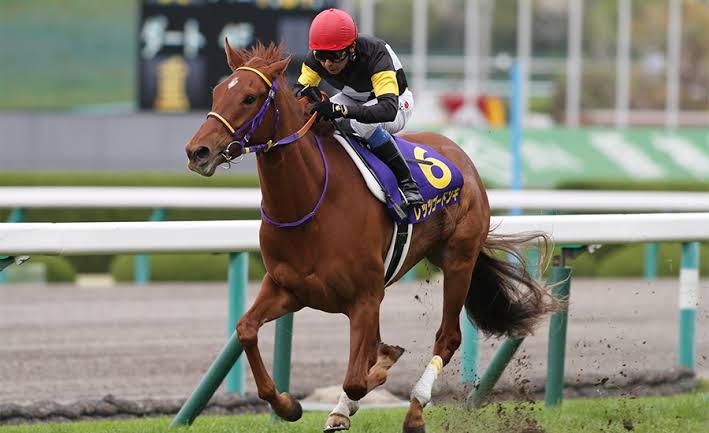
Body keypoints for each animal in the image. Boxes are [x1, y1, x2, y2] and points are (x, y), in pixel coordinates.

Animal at [185, 41, 555, 433]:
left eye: (249, 97)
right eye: (217, 92)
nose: (197, 151)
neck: (311, 203)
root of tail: (460, 156)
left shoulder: (364, 297)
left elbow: (357, 380)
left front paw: (370, 379)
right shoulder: (287, 288)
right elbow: (246, 330)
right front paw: (287, 405)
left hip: (459, 259)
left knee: (448, 336)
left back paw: (414, 410)